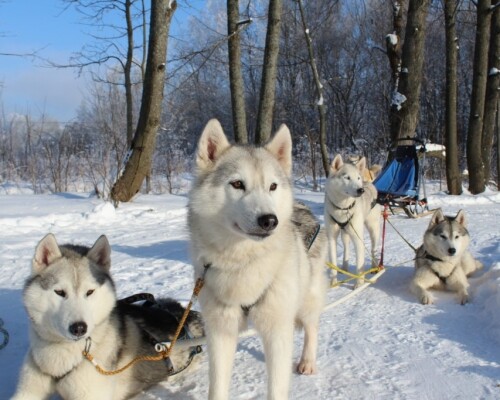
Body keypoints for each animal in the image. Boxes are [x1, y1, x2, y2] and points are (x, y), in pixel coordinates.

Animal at [188, 119, 328, 400]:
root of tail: (303, 206)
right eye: (237, 184)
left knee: (312, 328)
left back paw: (307, 362)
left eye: (272, 186)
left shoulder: (277, 330)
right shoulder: (220, 331)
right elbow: (217, 387)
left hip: (307, 299)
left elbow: (277, 387)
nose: (269, 220)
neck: (243, 262)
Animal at [322, 153, 380, 288]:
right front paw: (334, 283)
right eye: (347, 177)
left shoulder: (358, 239)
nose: (360, 190)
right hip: (345, 233)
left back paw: (375, 268)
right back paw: (344, 267)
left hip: (373, 229)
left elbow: (360, 264)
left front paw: (359, 285)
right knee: (346, 248)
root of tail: (368, 184)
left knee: (374, 249)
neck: (342, 208)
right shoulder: (331, 237)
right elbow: (333, 263)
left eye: (358, 178)